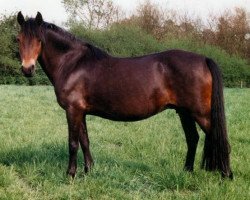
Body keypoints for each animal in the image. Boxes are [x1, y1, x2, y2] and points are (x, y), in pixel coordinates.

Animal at [16, 11, 233, 179]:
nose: (27, 69)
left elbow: (73, 143)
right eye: (18, 39)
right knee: (192, 139)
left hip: (201, 113)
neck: (73, 64)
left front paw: (70, 174)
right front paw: (88, 170)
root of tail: (204, 59)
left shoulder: (73, 111)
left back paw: (227, 176)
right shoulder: (81, 112)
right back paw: (187, 171)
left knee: (219, 139)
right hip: (184, 112)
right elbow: (85, 141)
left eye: (39, 40)